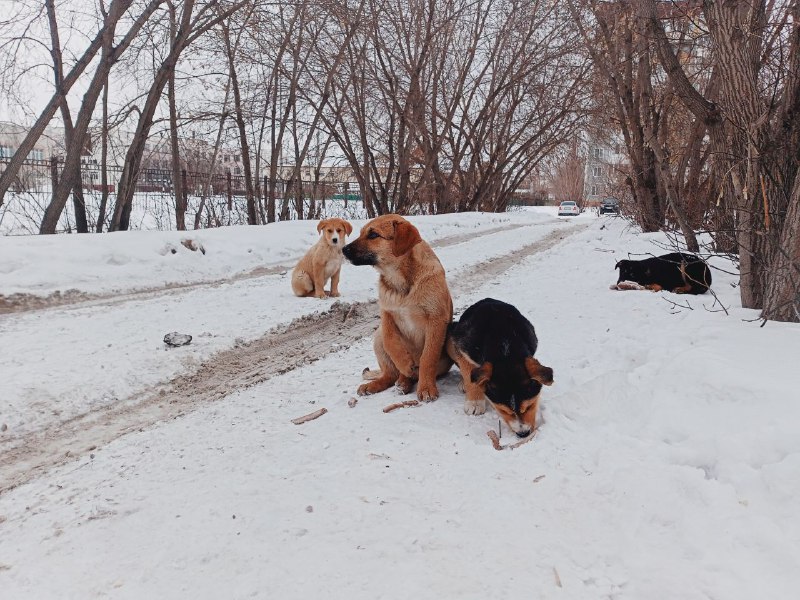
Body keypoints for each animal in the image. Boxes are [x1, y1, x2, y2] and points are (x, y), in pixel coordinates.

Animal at [342, 213, 454, 400]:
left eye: (373, 235)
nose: (343, 249)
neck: (400, 280)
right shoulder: (387, 315)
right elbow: (391, 342)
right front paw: (404, 363)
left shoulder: (436, 318)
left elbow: (427, 358)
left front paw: (426, 388)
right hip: (377, 338)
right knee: (390, 374)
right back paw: (385, 383)